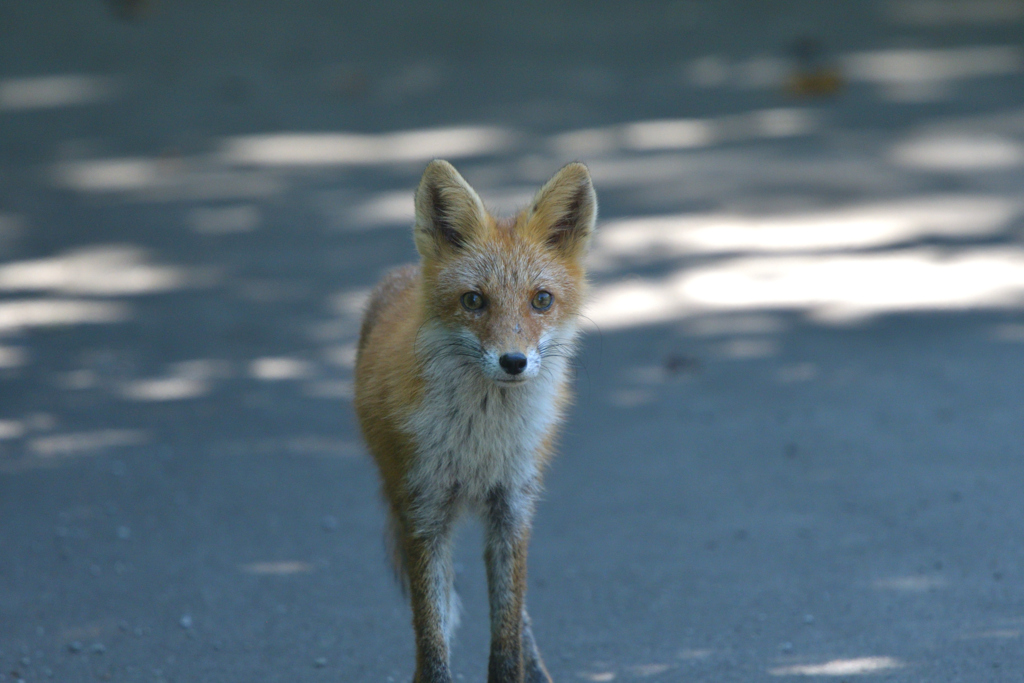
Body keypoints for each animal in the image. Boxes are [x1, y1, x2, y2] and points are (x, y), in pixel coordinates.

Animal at [356, 161, 598, 683]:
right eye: (473, 301)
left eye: (541, 300)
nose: (514, 361)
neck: (480, 443)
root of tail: (405, 273)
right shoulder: (423, 513)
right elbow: (432, 634)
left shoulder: (512, 508)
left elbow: (506, 630)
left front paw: (515, 670)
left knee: (519, 612)